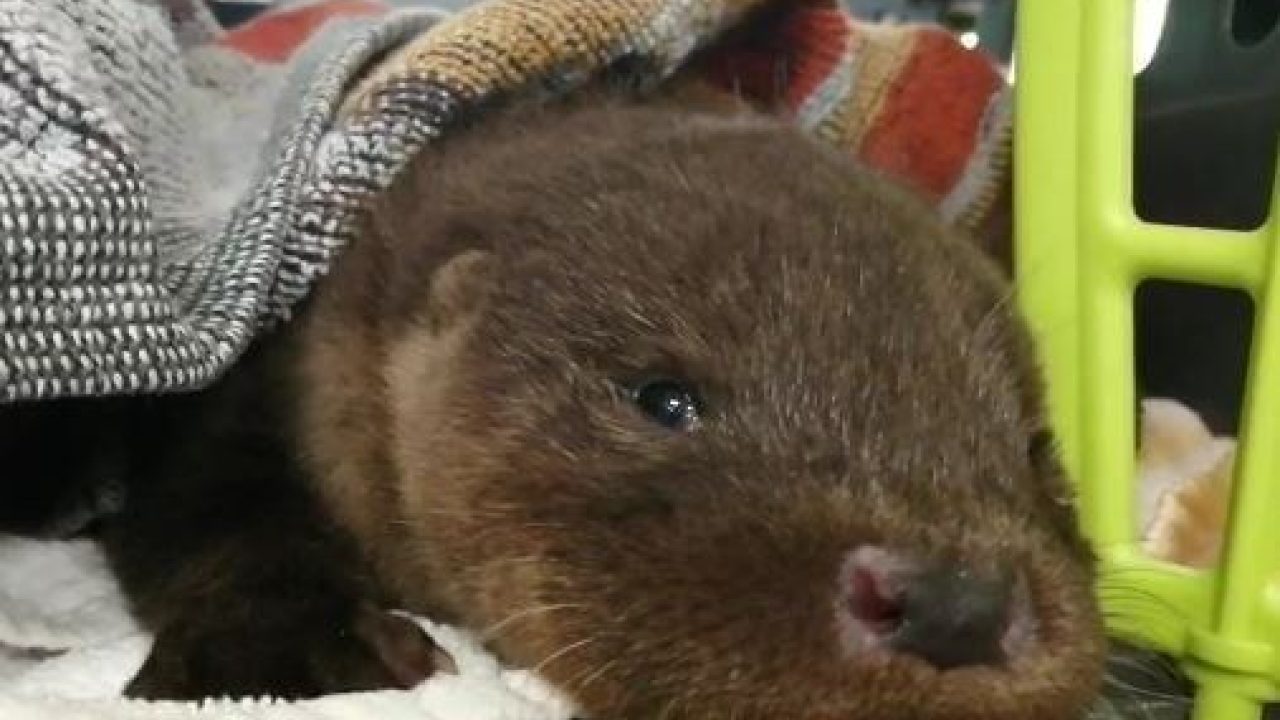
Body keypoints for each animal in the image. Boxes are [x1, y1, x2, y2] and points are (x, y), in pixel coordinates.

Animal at [26, 95, 1106, 718]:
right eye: (664, 398)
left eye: (1035, 447)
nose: (956, 605)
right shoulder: (247, 394)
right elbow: (211, 509)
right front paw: (291, 650)